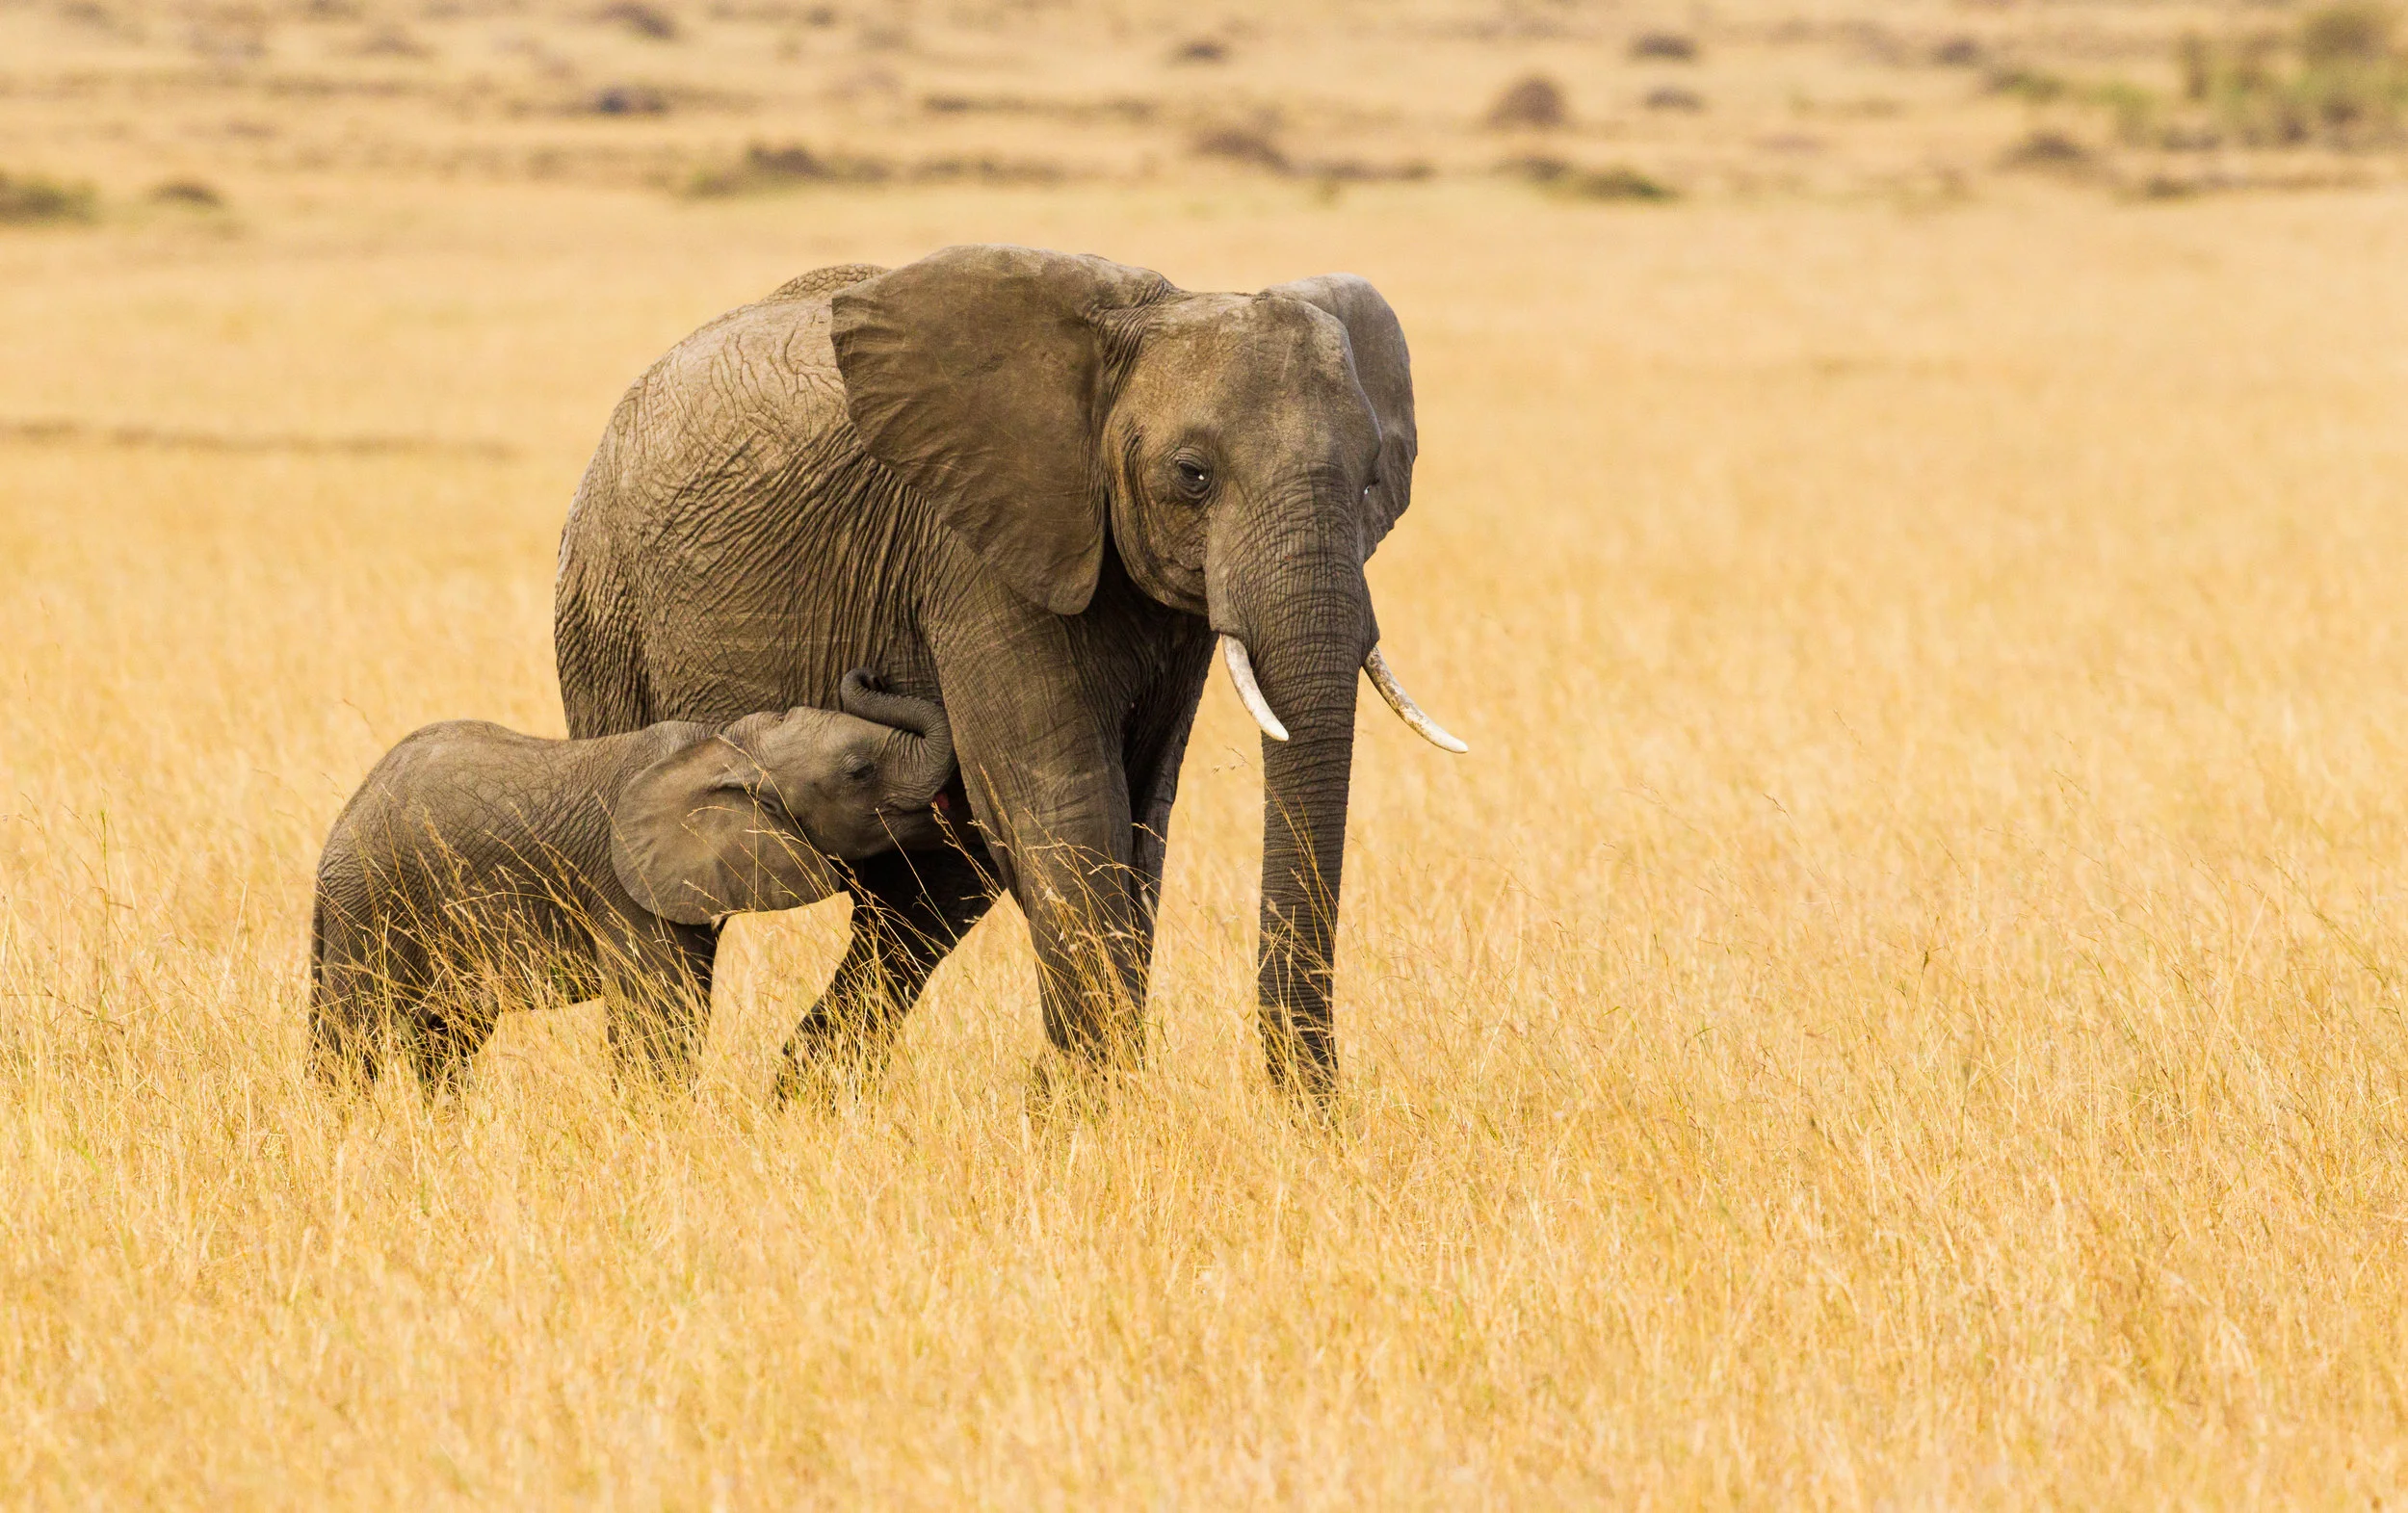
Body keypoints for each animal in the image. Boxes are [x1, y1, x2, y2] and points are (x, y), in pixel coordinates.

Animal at [309, 671, 954, 1093]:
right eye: (861, 772)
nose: (869, 671)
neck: (721, 747)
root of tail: (339, 827)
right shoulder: (622, 885)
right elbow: (657, 1020)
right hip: (370, 903)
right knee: (356, 1034)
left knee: (446, 1037)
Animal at [552, 245, 1462, 1098]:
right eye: (1192, 475)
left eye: (1374, 476)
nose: (1317, 1120)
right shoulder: (973, 553)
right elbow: (1066, 803)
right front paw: (1097, 1115)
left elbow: (1141, 812)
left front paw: (1069, 1103)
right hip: (604, 611)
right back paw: (660, 1106)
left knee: (925, 900)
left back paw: (798, 1102)